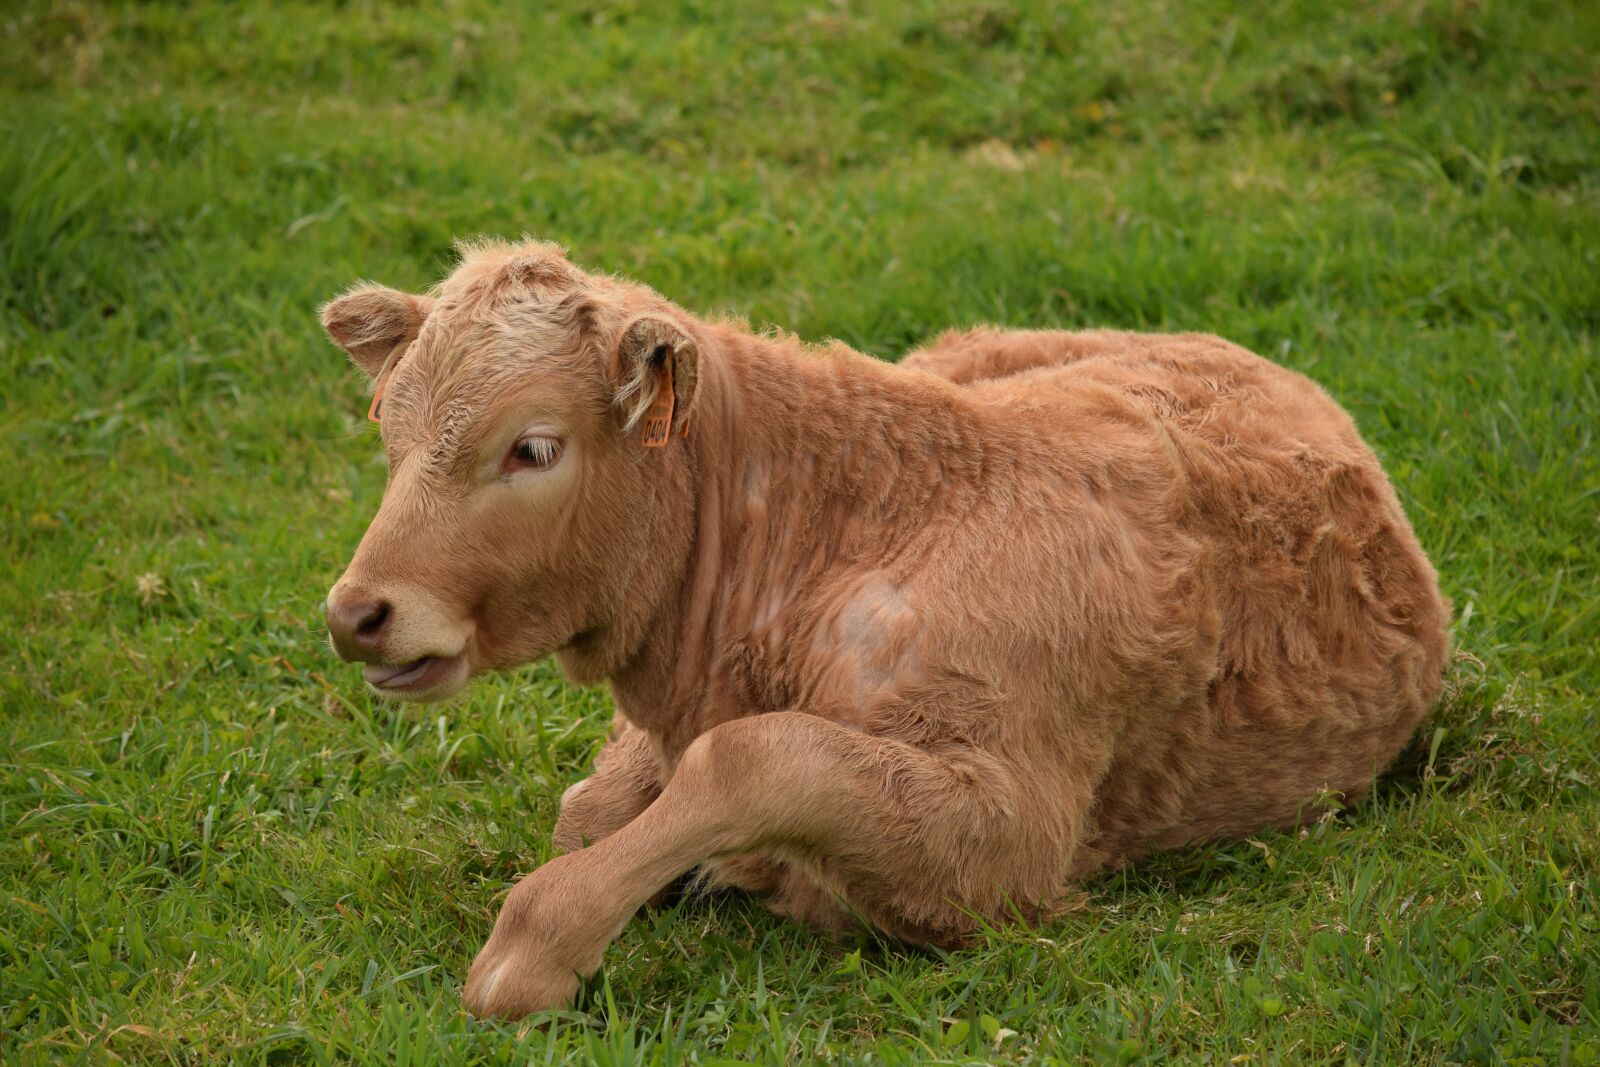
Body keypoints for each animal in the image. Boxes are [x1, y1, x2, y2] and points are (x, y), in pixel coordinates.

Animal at [320, 238, 1449, 1019]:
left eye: (533, 447)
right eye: (389, 429)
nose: (356, 612)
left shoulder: (1013, 835)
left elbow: (751, 759)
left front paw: (537, 943)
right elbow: (591, 807)